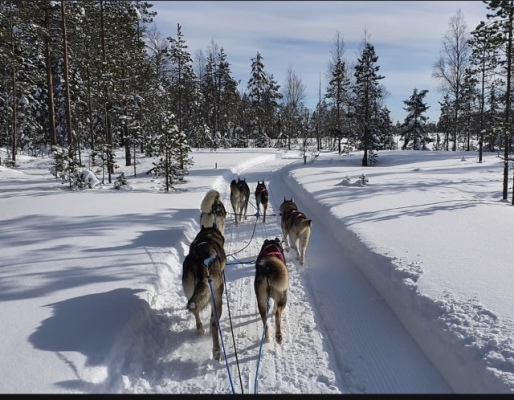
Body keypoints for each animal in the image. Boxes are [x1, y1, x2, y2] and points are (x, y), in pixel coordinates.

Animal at [182, 225, 226, 362]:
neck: (207, 236)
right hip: (217, 300)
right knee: (214, 324)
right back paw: (216, 350)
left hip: (190, 292)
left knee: (195, 311)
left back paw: (200, 330)